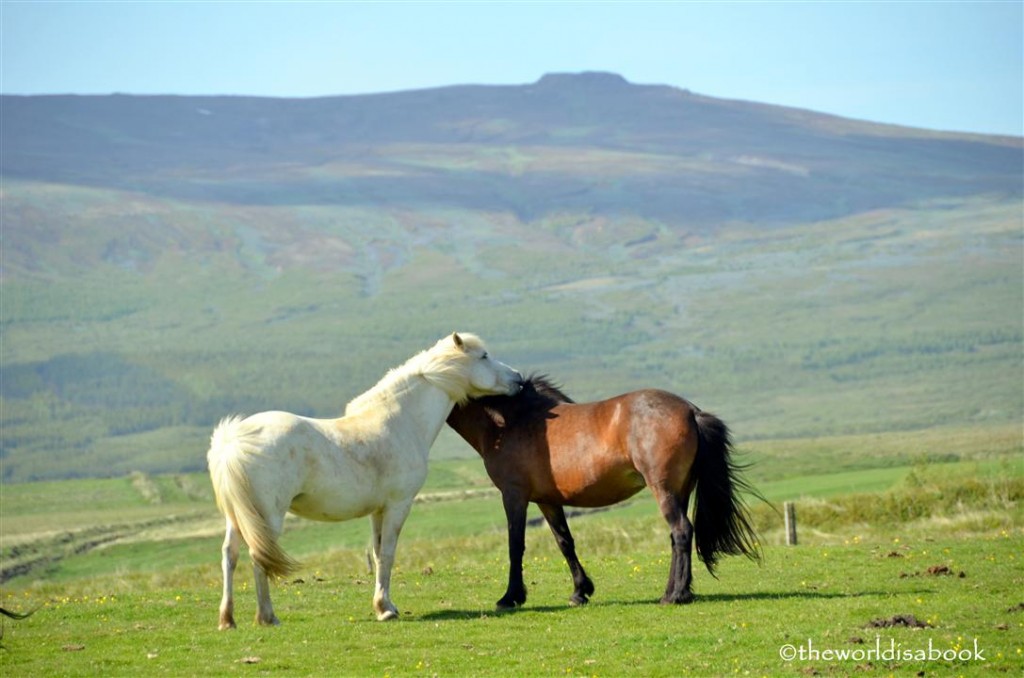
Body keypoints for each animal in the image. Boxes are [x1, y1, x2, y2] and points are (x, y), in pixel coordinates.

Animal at [210, 331, 524, 630]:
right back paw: (268, 617)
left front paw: (386, 605)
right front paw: (385, 610)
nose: (518, 379)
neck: (401, 422)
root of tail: (233, 441)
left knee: (230, 555)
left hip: (238, 516)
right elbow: (388, 554)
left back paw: (227, 620)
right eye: (483, 356)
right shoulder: (398, 506)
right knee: (257, 556)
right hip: (267, 516)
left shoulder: (378, 511)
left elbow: (376, 554)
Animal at [446, 376, 761, 610]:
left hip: (664, 490)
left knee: (682, 531)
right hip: (680, 491)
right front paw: (580, 591)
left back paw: (675, 596)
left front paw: (510, 597)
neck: (511, 421)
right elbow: (565, 542)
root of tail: (692, 412)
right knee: (677, 537)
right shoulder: (548, 501)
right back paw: (677, 590)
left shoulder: (514, 496)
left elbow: (515, 545)